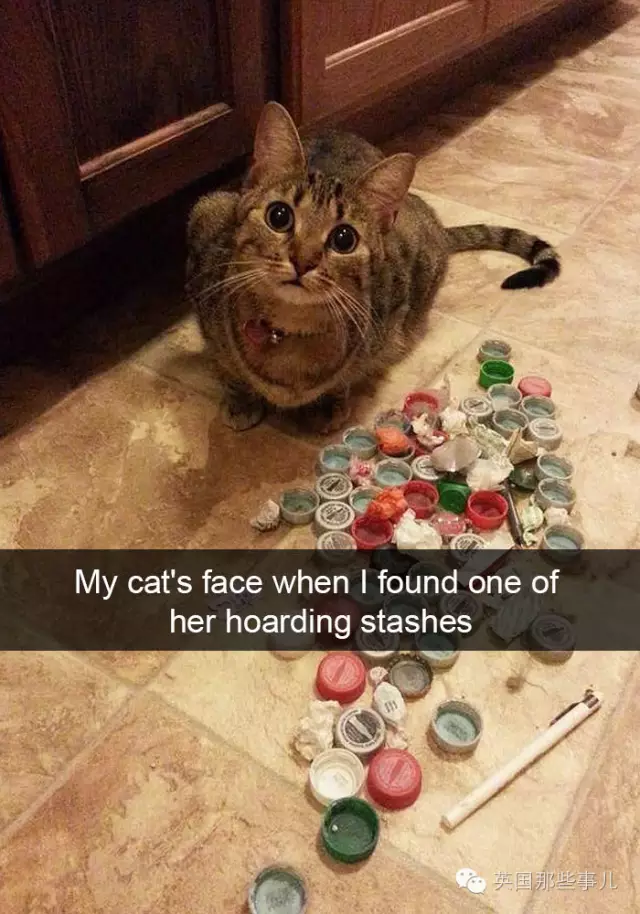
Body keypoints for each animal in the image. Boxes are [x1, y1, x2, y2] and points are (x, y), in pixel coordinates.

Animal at [187, 102, 560, 432]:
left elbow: (348, 375)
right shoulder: (204, 228)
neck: (290, 330)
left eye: (344, 239)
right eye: (278, 216)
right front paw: (241, 398)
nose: (303, 261)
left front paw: (328, 403)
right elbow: (227, 366)